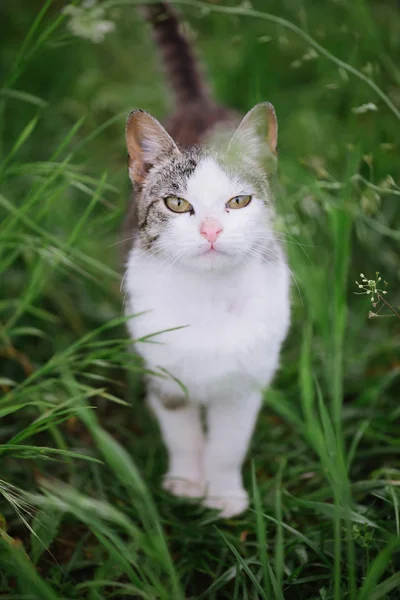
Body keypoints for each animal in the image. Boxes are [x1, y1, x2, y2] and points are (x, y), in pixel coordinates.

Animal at [122, 1, 290, 516]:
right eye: (177, 203)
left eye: (239, 201)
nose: (212, 229)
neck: (210, 299)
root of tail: (199, 103)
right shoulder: (161, 369)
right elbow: (182, 432)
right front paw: (186, 482)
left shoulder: (247, 380)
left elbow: (228, 443)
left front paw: (225, 495)